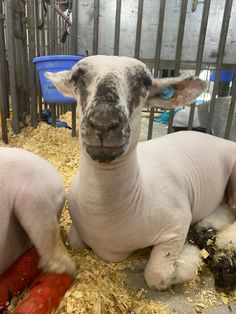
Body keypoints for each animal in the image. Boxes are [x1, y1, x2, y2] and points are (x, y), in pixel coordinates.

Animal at [46, 55, 236, 290]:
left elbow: (156, 275)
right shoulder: (77, 231)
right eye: (76, 78)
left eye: (144, 82)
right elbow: (74, 240)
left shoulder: (177, 224)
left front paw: (188, 259)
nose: (103, 123)